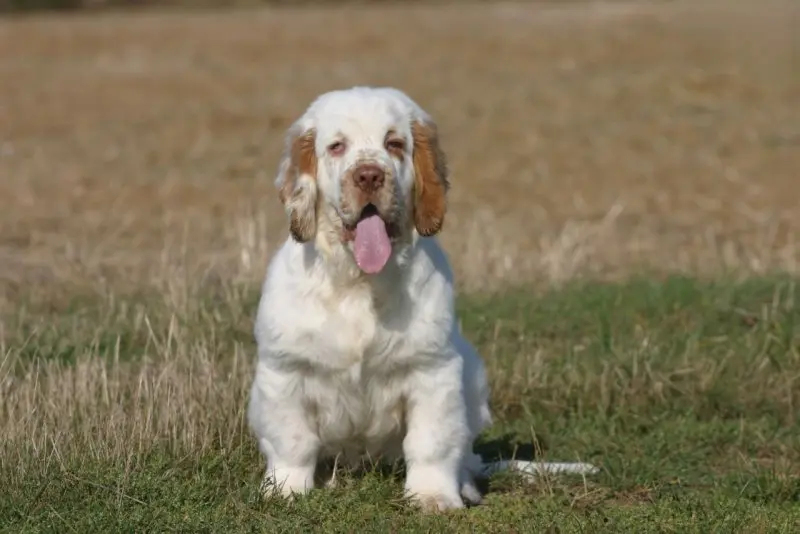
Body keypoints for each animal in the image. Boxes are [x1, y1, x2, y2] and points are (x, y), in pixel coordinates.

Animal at [247, 86, 596, 512]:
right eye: (337, 146)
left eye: (394, 144)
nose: (369, 175)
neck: (360, 282)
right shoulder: (284, 370)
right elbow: (292, 440)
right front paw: (285, 489)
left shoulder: (433, 370)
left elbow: (431, 441)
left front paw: (433, 496)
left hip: (472, 376)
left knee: (463, 455)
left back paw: (464, 485)